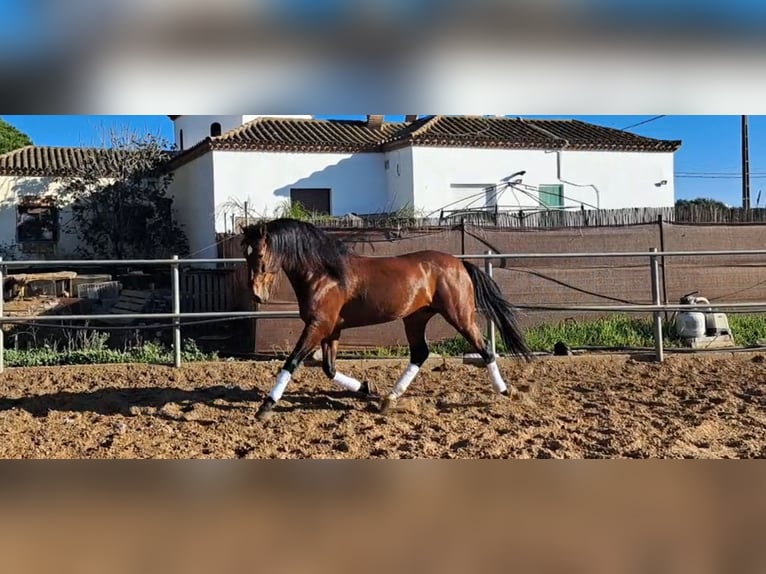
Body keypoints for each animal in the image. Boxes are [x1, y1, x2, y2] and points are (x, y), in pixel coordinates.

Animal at [240, 218, 536, 420]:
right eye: (245, 254)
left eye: (260, 254)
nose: (256, 295)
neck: (325, 274)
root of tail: (459, 264)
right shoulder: (331, 329)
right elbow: (329, 369)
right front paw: (366, 387)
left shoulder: (318, 325)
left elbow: (292, 362)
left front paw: (266, 406)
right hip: (415, 318)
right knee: (420, 353)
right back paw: (388, 399)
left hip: (459, 315)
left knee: (484, 350)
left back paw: (507, 391)